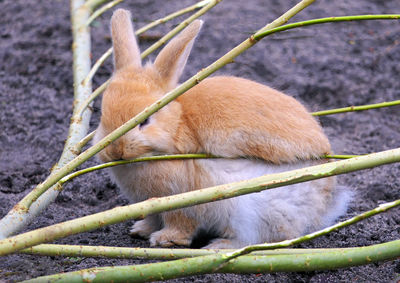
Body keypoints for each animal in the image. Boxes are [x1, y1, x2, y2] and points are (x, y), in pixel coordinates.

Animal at [93, 8, 350, 248]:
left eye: (145, 121)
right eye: (102, 114)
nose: (115, 151)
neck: (176, 127)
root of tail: (324, 201)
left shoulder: (182, 201)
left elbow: (181, 224)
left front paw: (165, 240)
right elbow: (152, 219)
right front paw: (140, 230)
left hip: (252, 206)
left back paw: (219, 246)